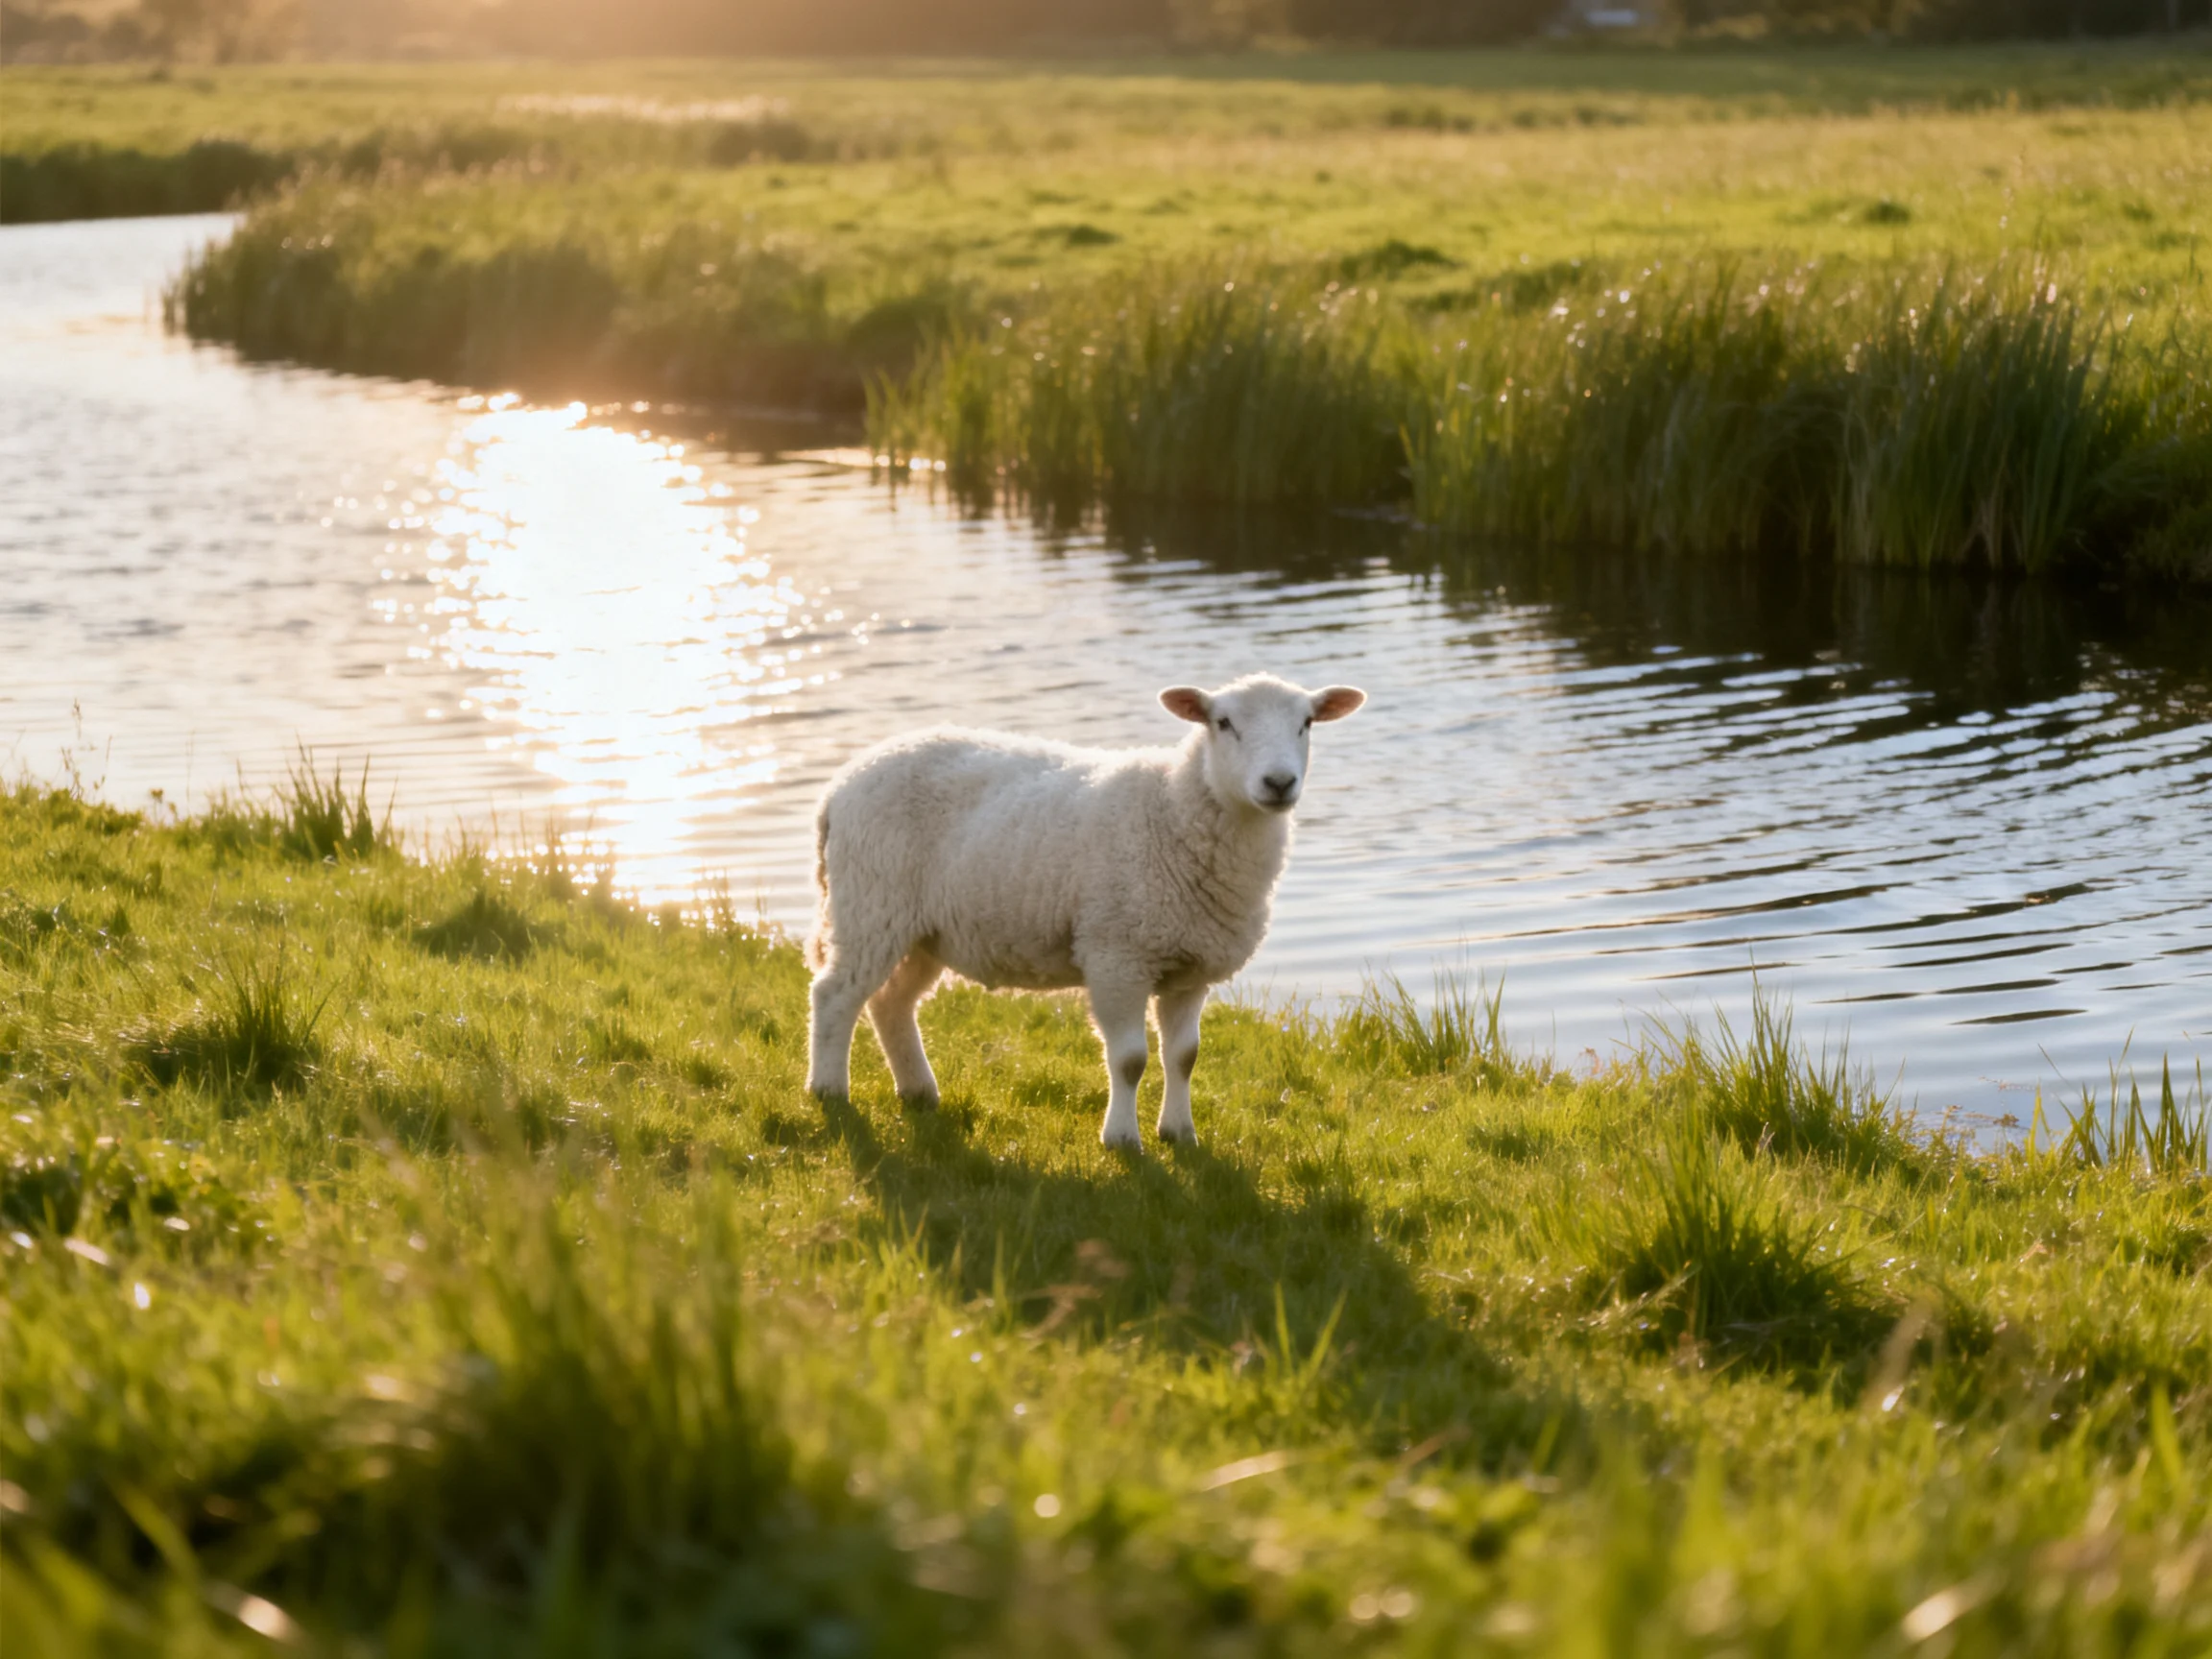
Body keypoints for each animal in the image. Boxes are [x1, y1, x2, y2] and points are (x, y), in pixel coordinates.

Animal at [804, 673, 1366, 1149]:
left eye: (1306, 723)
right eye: (1223, 723)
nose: (1279, 783)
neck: (1175, 807)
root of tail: (839, 786)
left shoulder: (1190, 967)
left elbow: (1184, 1057)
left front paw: (1179, 1134)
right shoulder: (1117, 955)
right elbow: (1130, 1060)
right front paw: (1121, 1140)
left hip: (922, 928)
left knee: (891, 1003)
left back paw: (918, 1091)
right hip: (870, 903)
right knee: (836, 994)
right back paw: (829, 1090)